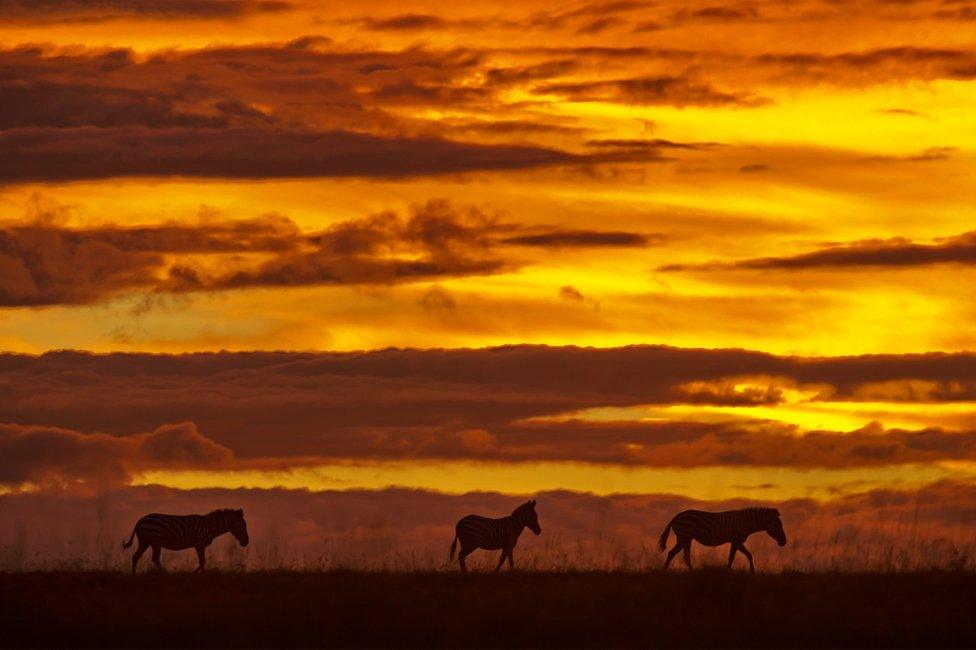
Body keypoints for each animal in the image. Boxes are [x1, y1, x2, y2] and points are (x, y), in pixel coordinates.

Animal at [121, 506, 250, 572]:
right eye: (242, 526)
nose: (246, 542)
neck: (210, 527)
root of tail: (140, 521)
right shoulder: (199, 544)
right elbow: (202, 562)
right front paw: (194, 575)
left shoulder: (200, 546)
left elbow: (203, 562)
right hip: (155, 541)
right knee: (154, 558)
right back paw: (165, 573)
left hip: (146, 542)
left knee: (136, 557)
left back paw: (134, 575)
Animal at [656, 504, 784, 568]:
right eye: (778, 525)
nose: (784, 542)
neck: (746, 523)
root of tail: (676, 517)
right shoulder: (737, 540)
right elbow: (746, 555)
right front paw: (752, 572)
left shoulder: (734, 541)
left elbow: (734, 557)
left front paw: (729, 572)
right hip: (684, 537)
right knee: (672, 553)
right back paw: (665, 572)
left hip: (686, 539)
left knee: (685, 557)